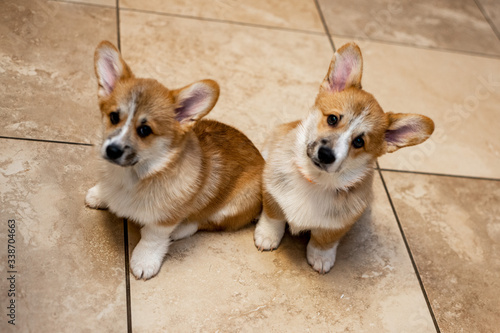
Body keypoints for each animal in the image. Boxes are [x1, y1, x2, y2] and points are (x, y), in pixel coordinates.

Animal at [86, 41, 266, 280]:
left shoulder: (164, 219)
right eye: (114, 117)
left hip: (231, 207)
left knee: (204, 222)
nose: (112, 150)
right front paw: (100, 195)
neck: (135, 175)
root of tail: (263, 162)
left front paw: (144, 261)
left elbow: (152, 237)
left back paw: (181, 229)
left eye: (144, 130)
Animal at [254, 42, 434, 272]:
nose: (326, 155)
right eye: (332, 119)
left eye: (359, 141)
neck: (315, 181)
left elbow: (325, 238)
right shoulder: (272, 193)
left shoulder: (341, 223)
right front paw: (267, 236)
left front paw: (321, 257)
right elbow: (273, 216)